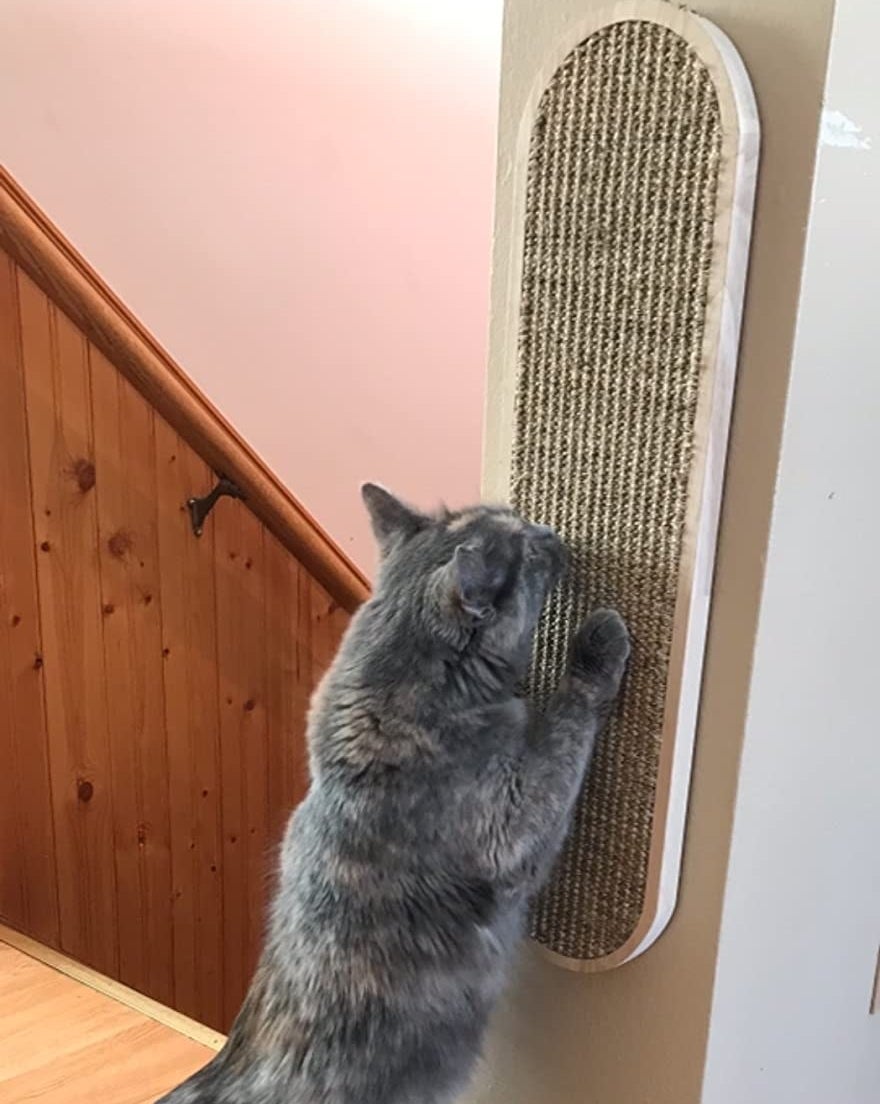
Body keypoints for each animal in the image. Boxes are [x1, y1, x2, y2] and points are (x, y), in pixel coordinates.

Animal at [155, 487, 622, 1099]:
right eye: (527, 551)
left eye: (522, 523)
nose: (550, 532)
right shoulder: (515, 828)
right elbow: (568, 721)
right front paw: (599, 644)